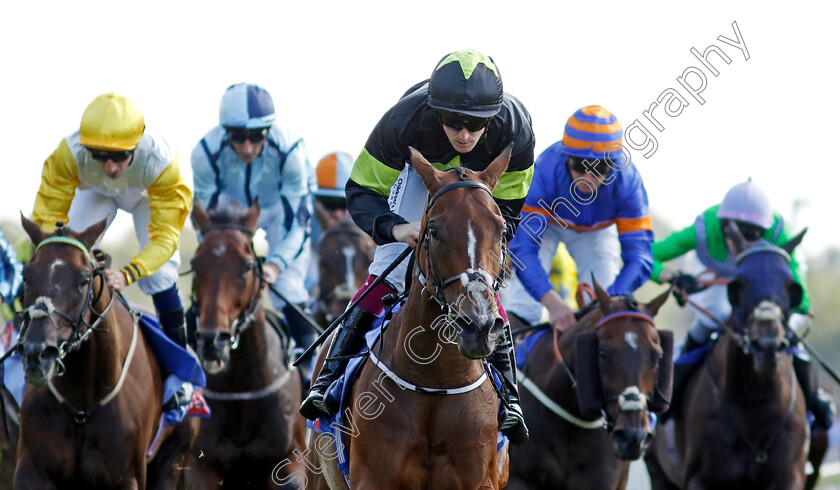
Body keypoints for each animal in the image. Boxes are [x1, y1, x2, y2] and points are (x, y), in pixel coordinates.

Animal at [13, 218, 197, 490]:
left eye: (84, 279)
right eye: (26, 275)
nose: (37, 352)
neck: (82, 400)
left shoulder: (127, 477)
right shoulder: (32, 470)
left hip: (173, 458)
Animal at [185, 201, 306, 488]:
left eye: (247, 265)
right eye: (195, 264)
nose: (212, 342)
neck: (241, 386)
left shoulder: (291, 459)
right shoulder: (199, 464)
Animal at [306, 145, 512, 490]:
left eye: (502, 230)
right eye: (434, 231)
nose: (479, 326)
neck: (436, 383)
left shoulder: (479, 479)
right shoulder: (372, 479)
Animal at [648, 233, 812, 490]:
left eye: (793, 287)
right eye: (738, 284)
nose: (767, 346)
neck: (753, 402)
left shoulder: (789, 476)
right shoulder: (701, 478)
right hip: (658, 471)